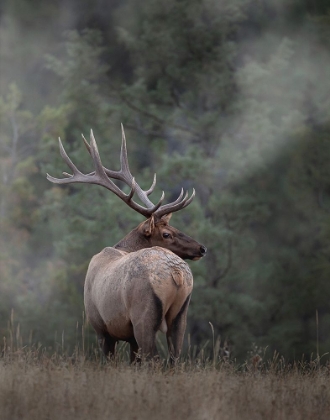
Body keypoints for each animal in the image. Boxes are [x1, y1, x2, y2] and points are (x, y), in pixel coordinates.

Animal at [46, 124, 206, 360]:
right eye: (167, 233)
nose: (202, 248)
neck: (121, 247)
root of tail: (176, 274)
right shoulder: (128, 338)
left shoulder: (101, 328)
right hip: (180, 316)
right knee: (174, 357)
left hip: (143, 316)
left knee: (154, 357)